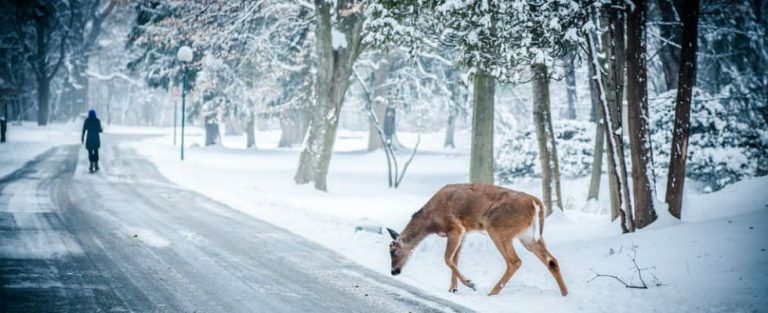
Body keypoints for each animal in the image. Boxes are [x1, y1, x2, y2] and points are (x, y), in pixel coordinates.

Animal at [388, 183, 568, 294]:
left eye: (393, 251)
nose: (393, 272)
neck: (430, 222)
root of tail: (536, 203)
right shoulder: (464, 233)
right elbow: (455, 259)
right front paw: (453, 289)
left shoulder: (456, 228)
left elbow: (447, 259)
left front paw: (470, 283)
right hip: (528, 236)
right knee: (551, 261)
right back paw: (565, 294)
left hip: (497, 227)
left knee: (514, 261)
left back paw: (491, 293)